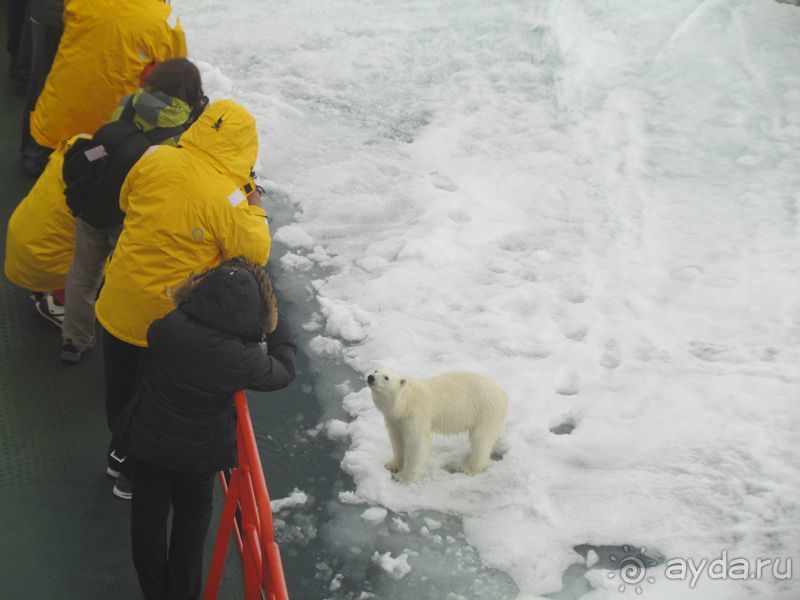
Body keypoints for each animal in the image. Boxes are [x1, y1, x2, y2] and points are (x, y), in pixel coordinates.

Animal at [368, 366, 506, 482]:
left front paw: (403, 477)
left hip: (485, 409)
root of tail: (502, 392)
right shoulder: (394, 420)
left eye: (386, 377)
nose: (370, 377)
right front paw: (392, 465)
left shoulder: (415, 416)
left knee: (481, 439)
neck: (403, 403)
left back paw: (469, 468)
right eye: (375, 370)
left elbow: (416, 443)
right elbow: (397, 440)